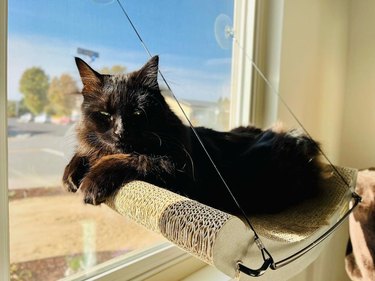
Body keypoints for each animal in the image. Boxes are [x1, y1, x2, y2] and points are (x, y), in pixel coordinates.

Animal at [63, 56, 324, 214]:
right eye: (105, 114)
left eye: (137, 113)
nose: (120, 131)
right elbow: (87, 152)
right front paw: (70, 174)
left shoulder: (178, 171)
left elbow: (133, 158)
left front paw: (91, 182)